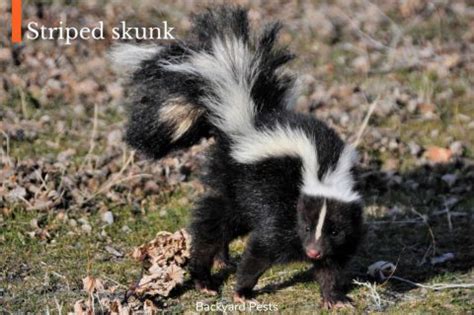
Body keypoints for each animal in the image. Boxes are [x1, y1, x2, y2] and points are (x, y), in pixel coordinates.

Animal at [111, 6, 362, 310]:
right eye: (305, 225)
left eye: (334, 231)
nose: (313, 251)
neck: (323, 172)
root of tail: (242, 121)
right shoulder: (282, 210)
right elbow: (262, 248)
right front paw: (242, 290)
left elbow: (333, 264)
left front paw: (334, 297)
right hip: (235, 183)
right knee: (213, 224)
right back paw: (204, 277)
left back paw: (222, 259)